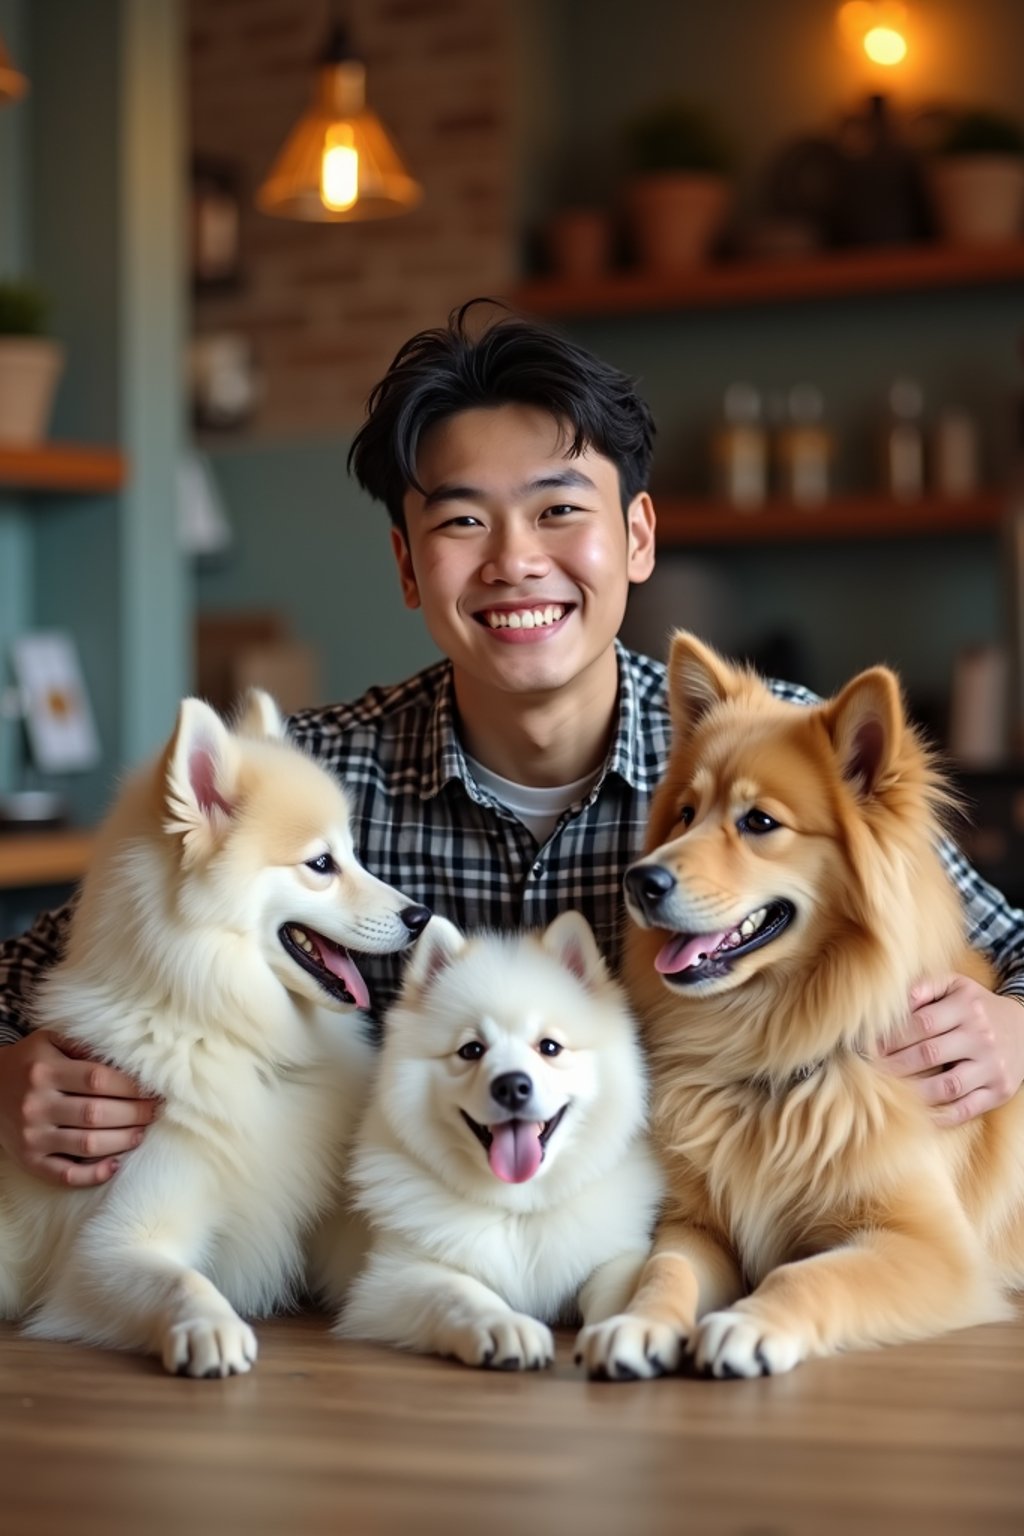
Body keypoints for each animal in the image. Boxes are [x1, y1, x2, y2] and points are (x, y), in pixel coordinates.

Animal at [0, 691, 429, 1376]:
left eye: (355, 854)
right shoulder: (110, 1244)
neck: (228, 1034)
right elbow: (180, 1279)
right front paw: (210, 1326)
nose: (420, 916)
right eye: (321, 864)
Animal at [333, 909, 660, 1370]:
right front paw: (506, 1328)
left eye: (549, 1047)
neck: (519, 1209)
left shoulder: (618, 1257)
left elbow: (623, 1289)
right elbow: (458, 1292)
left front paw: (622, 1330)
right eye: (471, 1050)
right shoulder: (390, 1279)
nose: (512, 1086)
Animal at [577, 626, 1024, 1382]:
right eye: (686, 814)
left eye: (759, 821)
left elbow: (808, 1274)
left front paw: (749, 1325)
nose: (641, 881)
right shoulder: (697, 1224)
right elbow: (665, 1269)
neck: (777, 1057)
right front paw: (638, 1324)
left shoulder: (929, 1247)